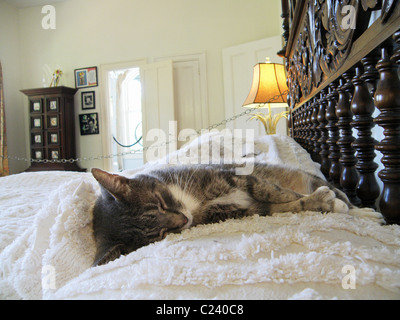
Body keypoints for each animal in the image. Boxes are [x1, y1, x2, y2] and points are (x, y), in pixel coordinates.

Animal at [90, 164, 350, 266]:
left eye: (161, 203)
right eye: (161, 234)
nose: (184, 220)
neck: (194, 204)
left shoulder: (237, 177)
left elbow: (276, 192)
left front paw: (320, 199)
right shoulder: (242, 211)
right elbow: (281, 207)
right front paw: (317, 202)